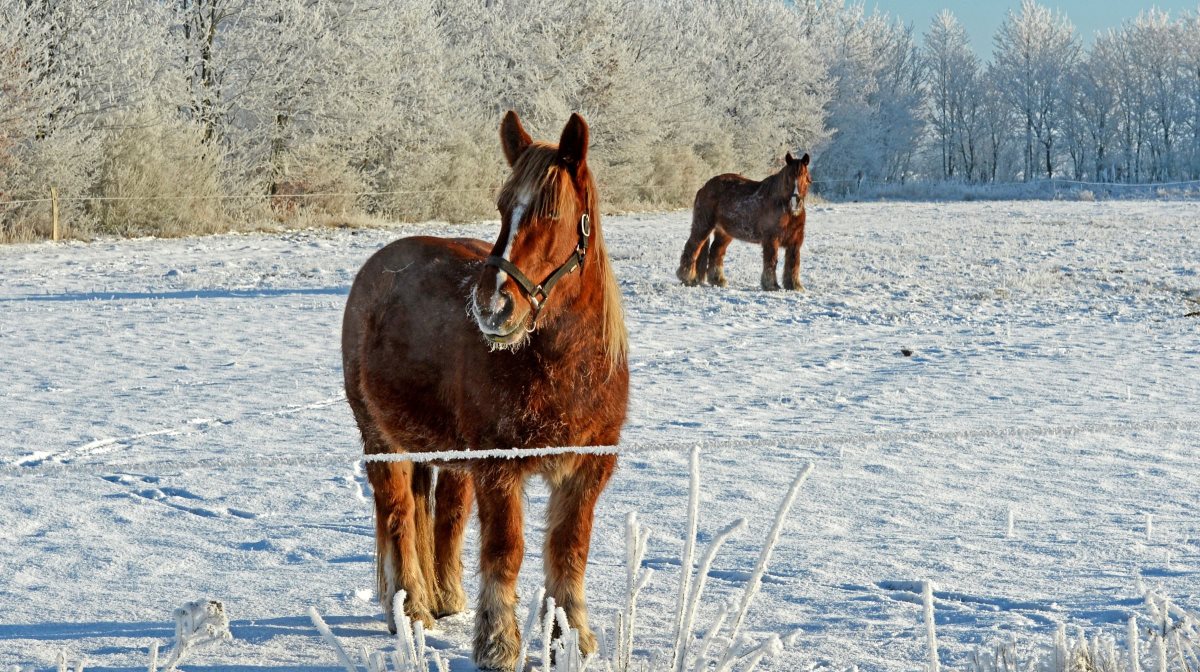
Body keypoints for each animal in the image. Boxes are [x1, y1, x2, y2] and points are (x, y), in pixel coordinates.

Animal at [340, 109, 628, 667]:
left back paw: (445, 596)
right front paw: (497, 644)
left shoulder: (586, 470)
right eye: (501, 207)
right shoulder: (499, 467)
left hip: (448, 457)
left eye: (552, 212)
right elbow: (505, 550)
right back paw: (410, 609)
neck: (563, 371)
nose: (493, 305)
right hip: (382, 443)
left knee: (446, 515)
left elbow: (569, 550)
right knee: (399, 516)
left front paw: (569, 640)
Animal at [676, 153, 816, 290]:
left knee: (716, 252)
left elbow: (793, 263)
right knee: (692, 248)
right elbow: (771, 261)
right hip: (703, 226)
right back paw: (687, 278)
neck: (786, 209)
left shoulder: (795, 241)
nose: (795, 201)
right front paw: (771, 285)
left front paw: (794, 286)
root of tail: (703, 188)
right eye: (789, 177)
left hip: (724, 233)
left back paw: (718, 280)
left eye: (804, 176)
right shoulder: (771, 240)